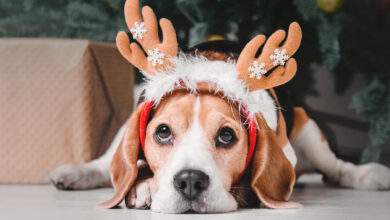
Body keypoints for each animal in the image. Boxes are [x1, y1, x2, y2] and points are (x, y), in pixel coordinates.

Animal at [48, 0, 390, 213]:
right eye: (162, 132)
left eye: (227, 136)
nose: (189, 182)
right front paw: (143, 187)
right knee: (105, 164)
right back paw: (75, 173)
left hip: (308, 129)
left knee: (338, 168)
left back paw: (369, 175)